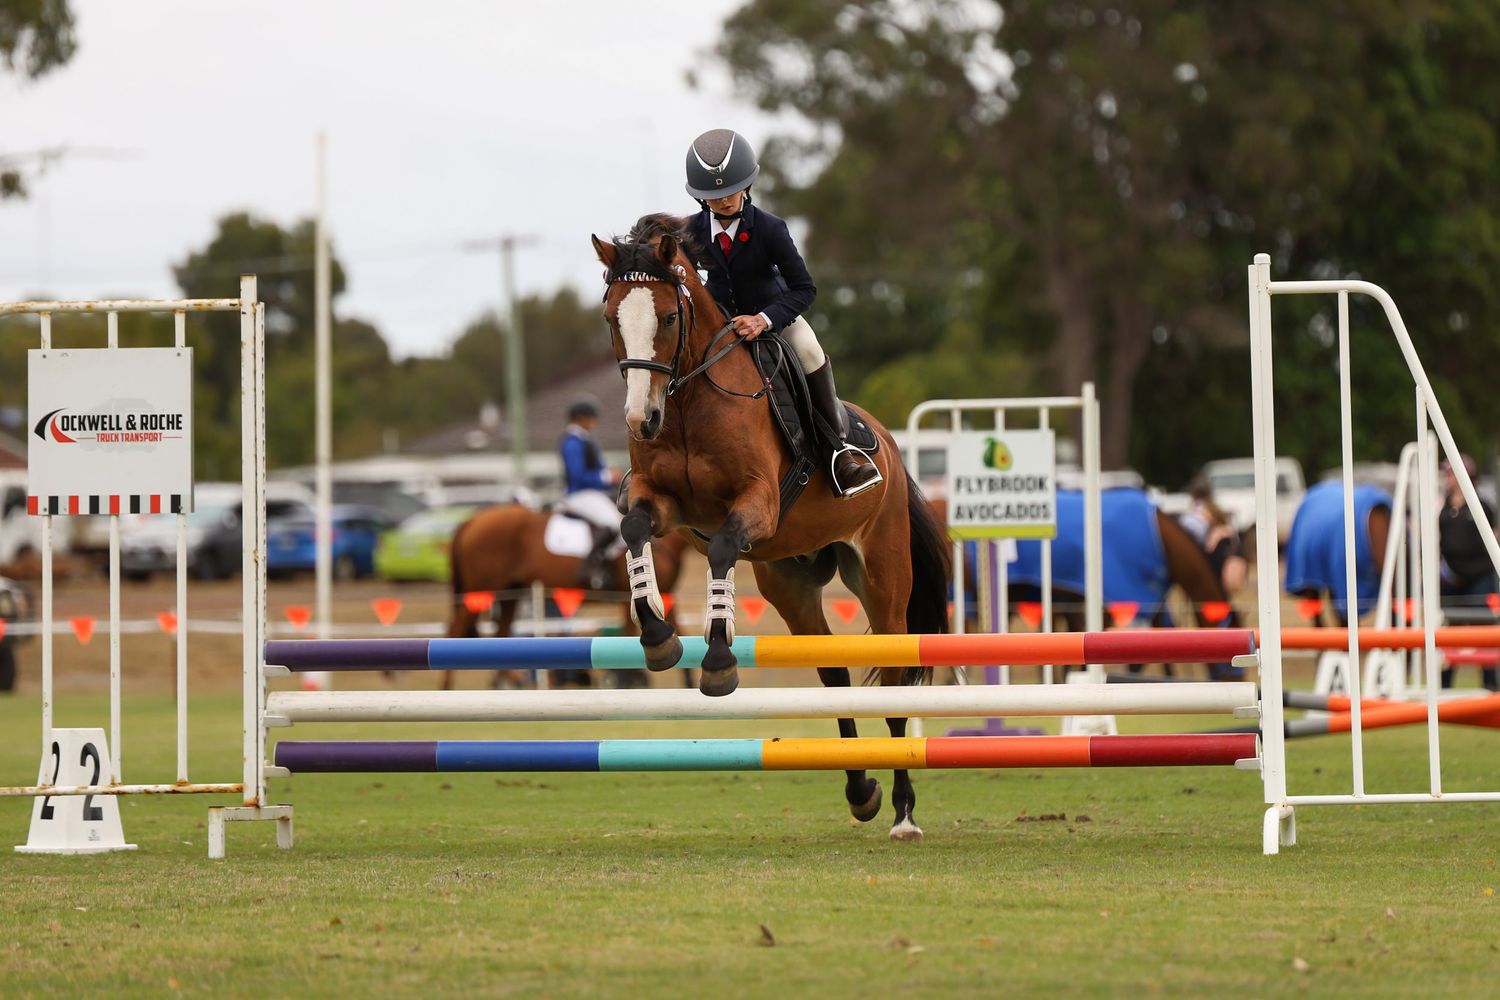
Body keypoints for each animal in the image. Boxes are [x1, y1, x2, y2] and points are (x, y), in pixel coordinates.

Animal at [446, 504, 692, 690]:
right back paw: (446, 687)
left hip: (509, 595)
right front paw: (623, 680)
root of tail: (472, 520)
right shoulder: (627, 597)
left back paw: (506, 683)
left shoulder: (665, 595)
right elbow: (631, 631)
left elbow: (679, 628)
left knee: (501, 634)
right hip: (479, 592)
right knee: (455, 631)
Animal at [591, 214, 950, 842]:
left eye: (667, 318)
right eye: (613, 319)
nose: (642, 419)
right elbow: (635, 531)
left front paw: (717, 663)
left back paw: (904, 811)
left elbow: (722, 551)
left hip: (883, 575)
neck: (687, 402)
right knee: (833, 674)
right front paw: (658, 638)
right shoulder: (662, 504)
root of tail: (888, 440)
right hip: (791, 581)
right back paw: (862, 791)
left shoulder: (755, 504)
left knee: (897, 672)